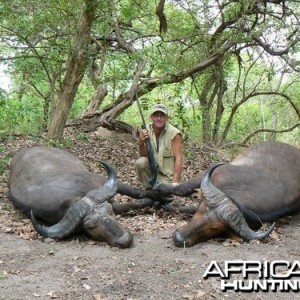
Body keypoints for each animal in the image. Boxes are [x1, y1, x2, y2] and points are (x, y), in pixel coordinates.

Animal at [155, 142, 300, 247]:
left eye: (216, 228)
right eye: (201, 211)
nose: (179, 239)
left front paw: (166, 206)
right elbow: (183, 188)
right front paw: (159, 190)